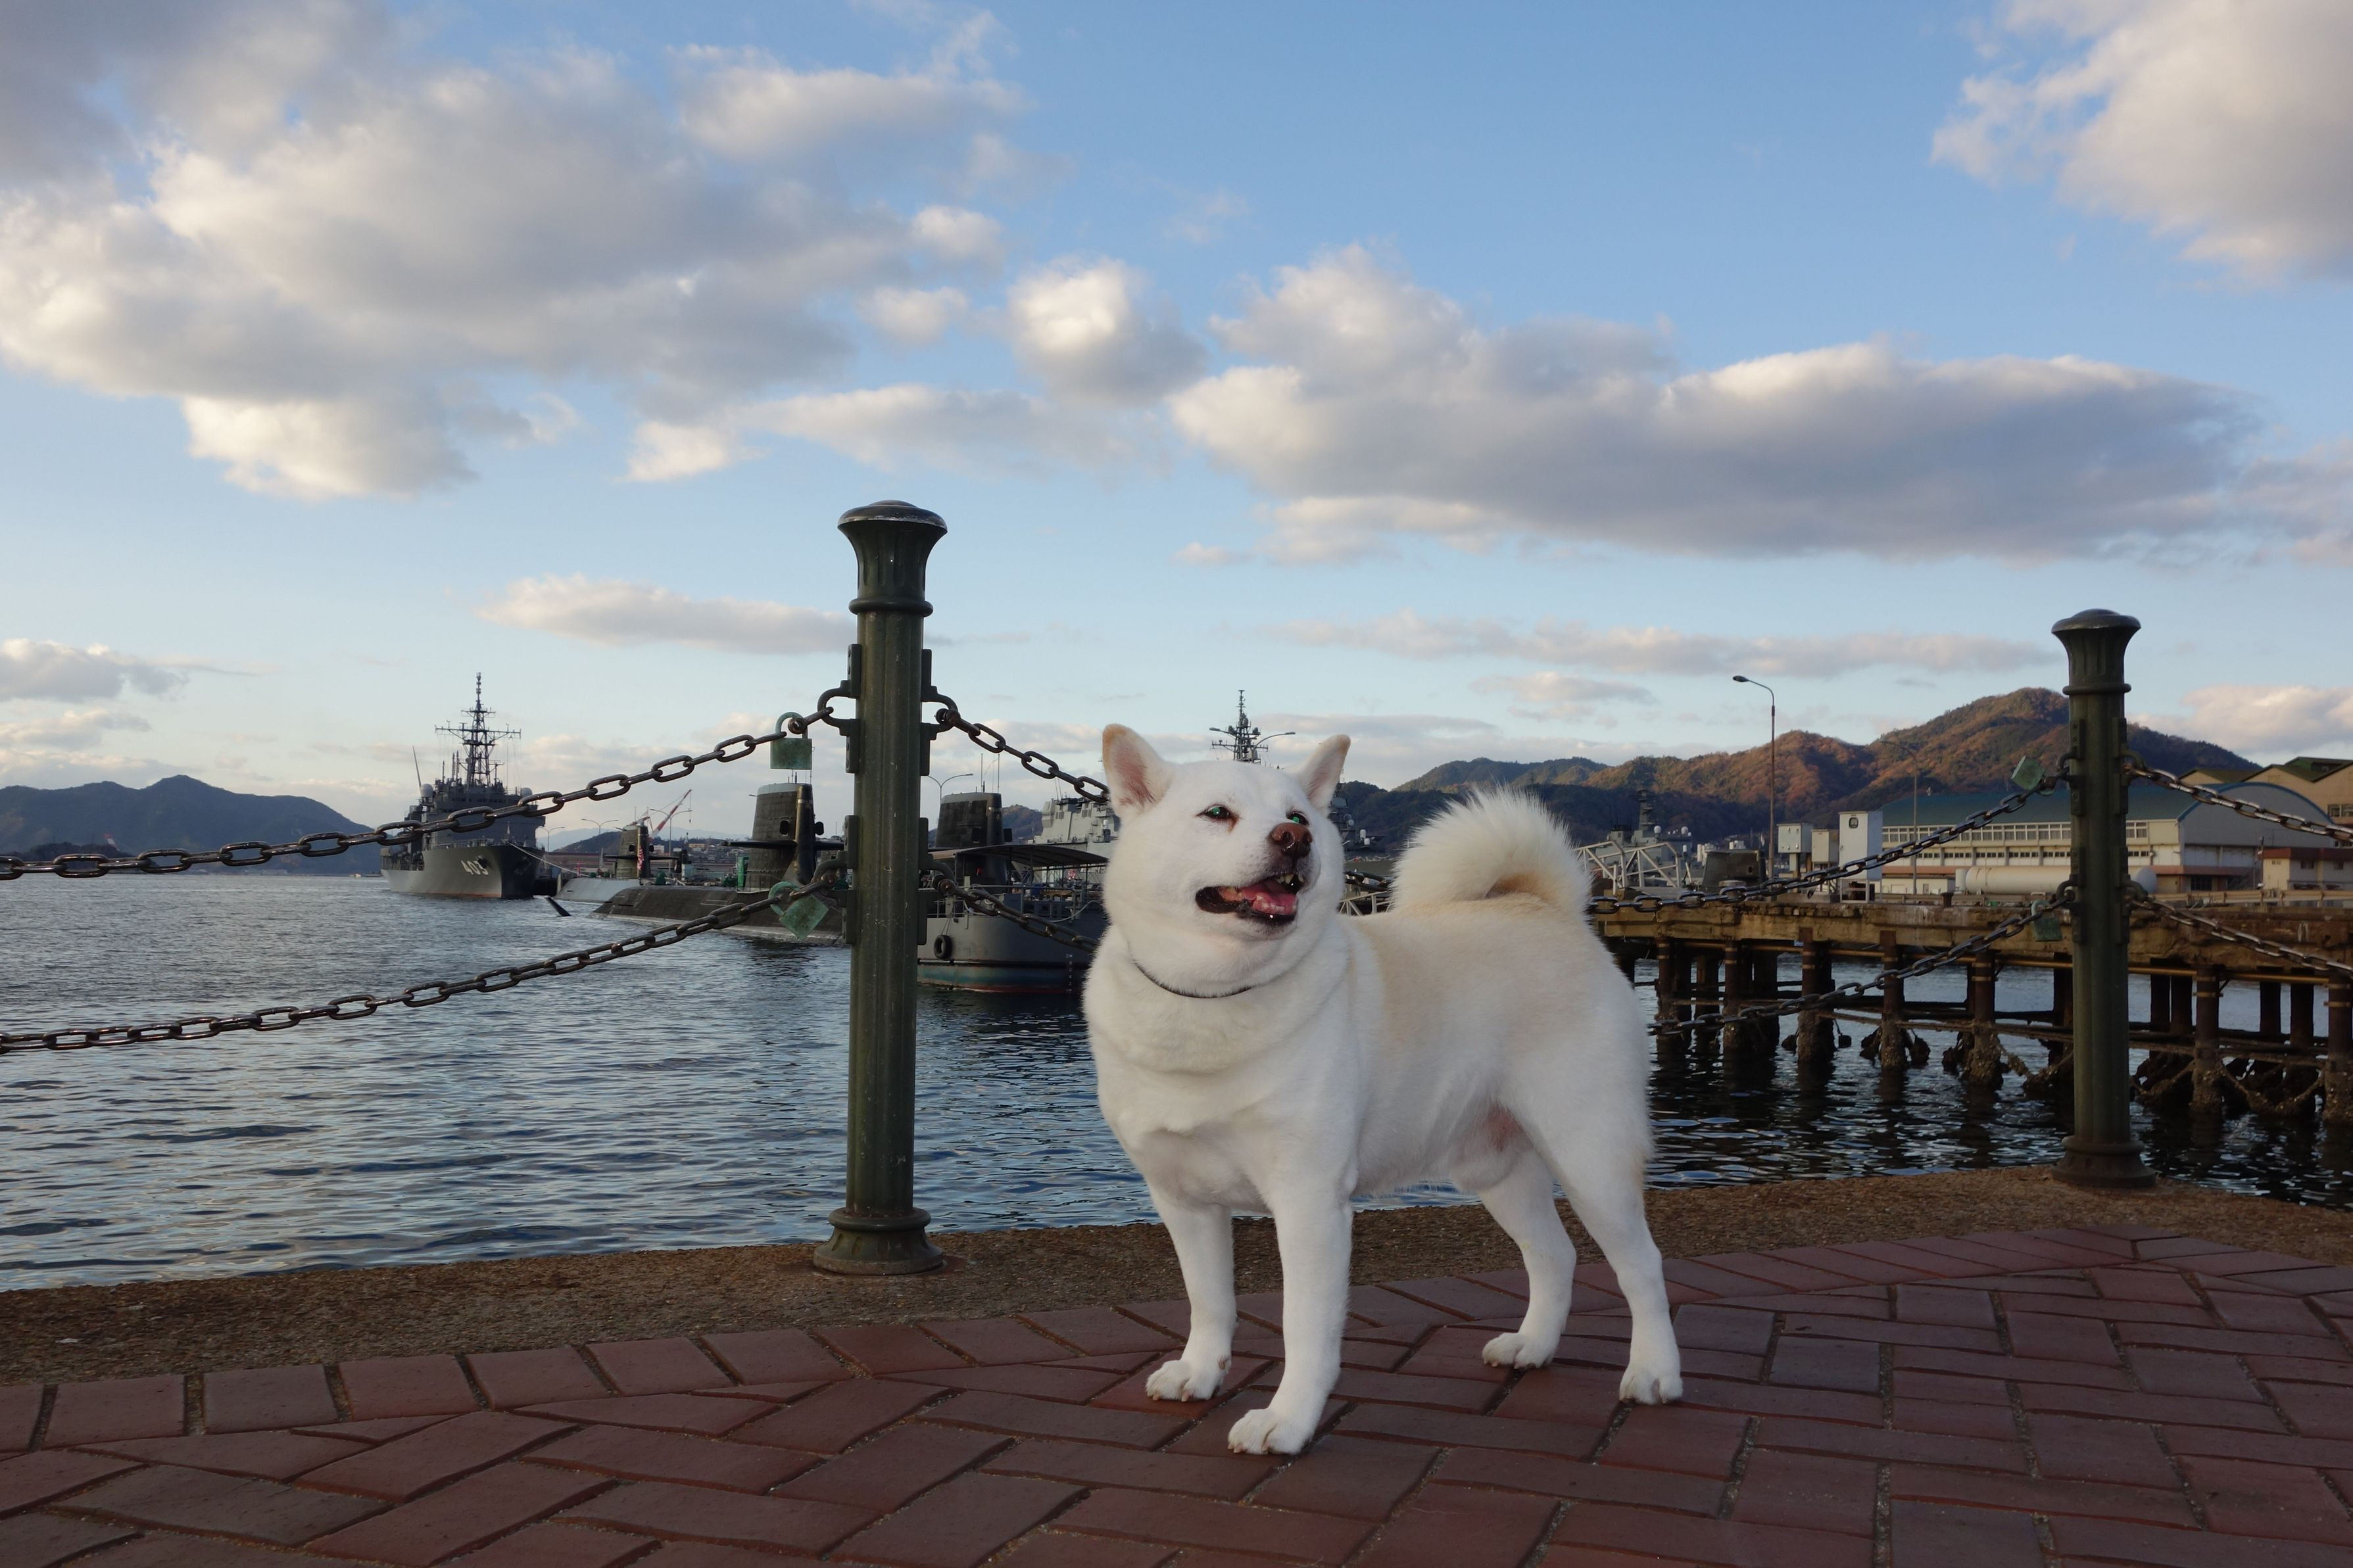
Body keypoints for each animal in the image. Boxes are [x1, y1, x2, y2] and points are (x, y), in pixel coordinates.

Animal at [1083, 725, 1683, 1455]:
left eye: (1298, 816)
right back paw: (1533, 1346)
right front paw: (1200, 1372)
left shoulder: (1309, 1203)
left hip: (1590, 1156)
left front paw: (1287, 1420)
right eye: (1217, 813)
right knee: (1554, 1254)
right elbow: (1208, 1300)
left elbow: (1304, 1324)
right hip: (1493, 1167)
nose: (1294, 839)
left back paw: (1654, 1372)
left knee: (1641, 1266)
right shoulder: (1181, 1198)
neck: (1214, 996)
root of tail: (1544, 909)